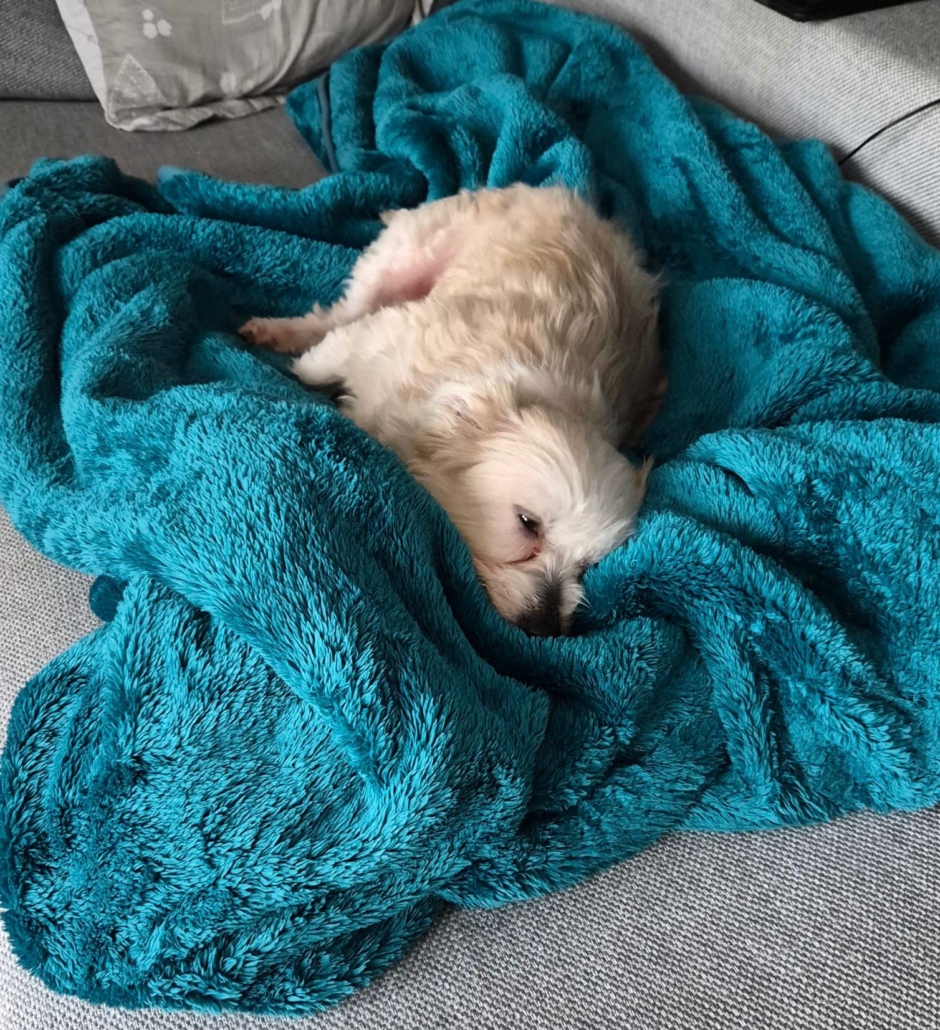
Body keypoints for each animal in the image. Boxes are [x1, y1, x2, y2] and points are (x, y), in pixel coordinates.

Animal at [241, 184, 663, 636]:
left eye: (587, 565)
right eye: (527, 524)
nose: (544, 625)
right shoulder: (378, 337)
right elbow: (322, 357)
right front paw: (299, 372)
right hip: (405, 257)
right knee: (339, 313)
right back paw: (279, 332)